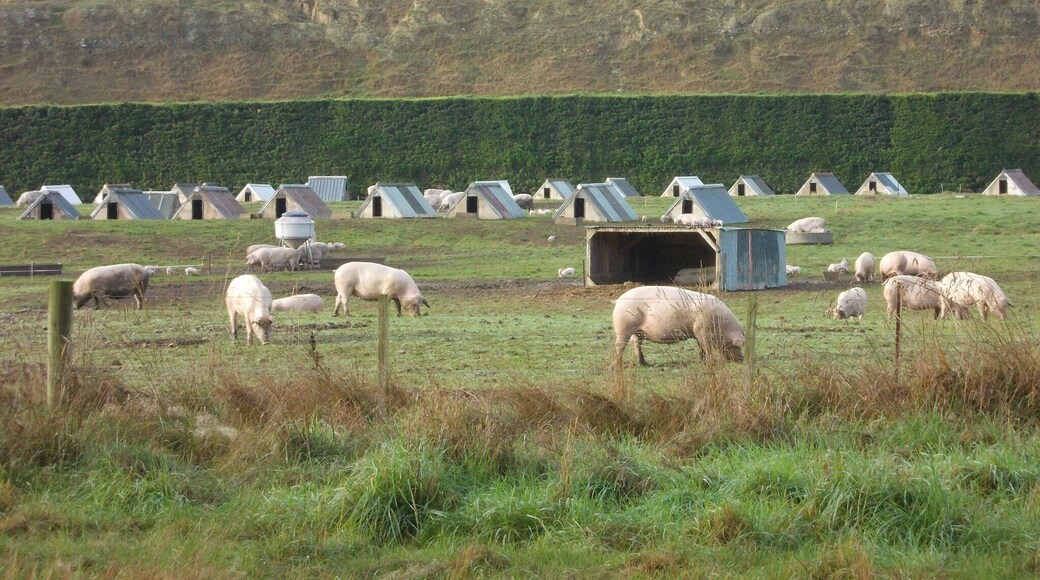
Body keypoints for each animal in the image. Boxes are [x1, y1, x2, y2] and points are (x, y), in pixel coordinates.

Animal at [612, 286, 745, 368]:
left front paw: (702, 362)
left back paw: (645, 364)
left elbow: (701, 347)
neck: (721, 324)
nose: (741, 359)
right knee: (620, 345)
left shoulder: (697, 333)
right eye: (735, 345)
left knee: (636, 344)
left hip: (638, 330)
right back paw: (617, 366)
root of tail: (618, 300)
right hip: (624, 326)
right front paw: (710, 363)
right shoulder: (701, 328)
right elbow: (707, 347)